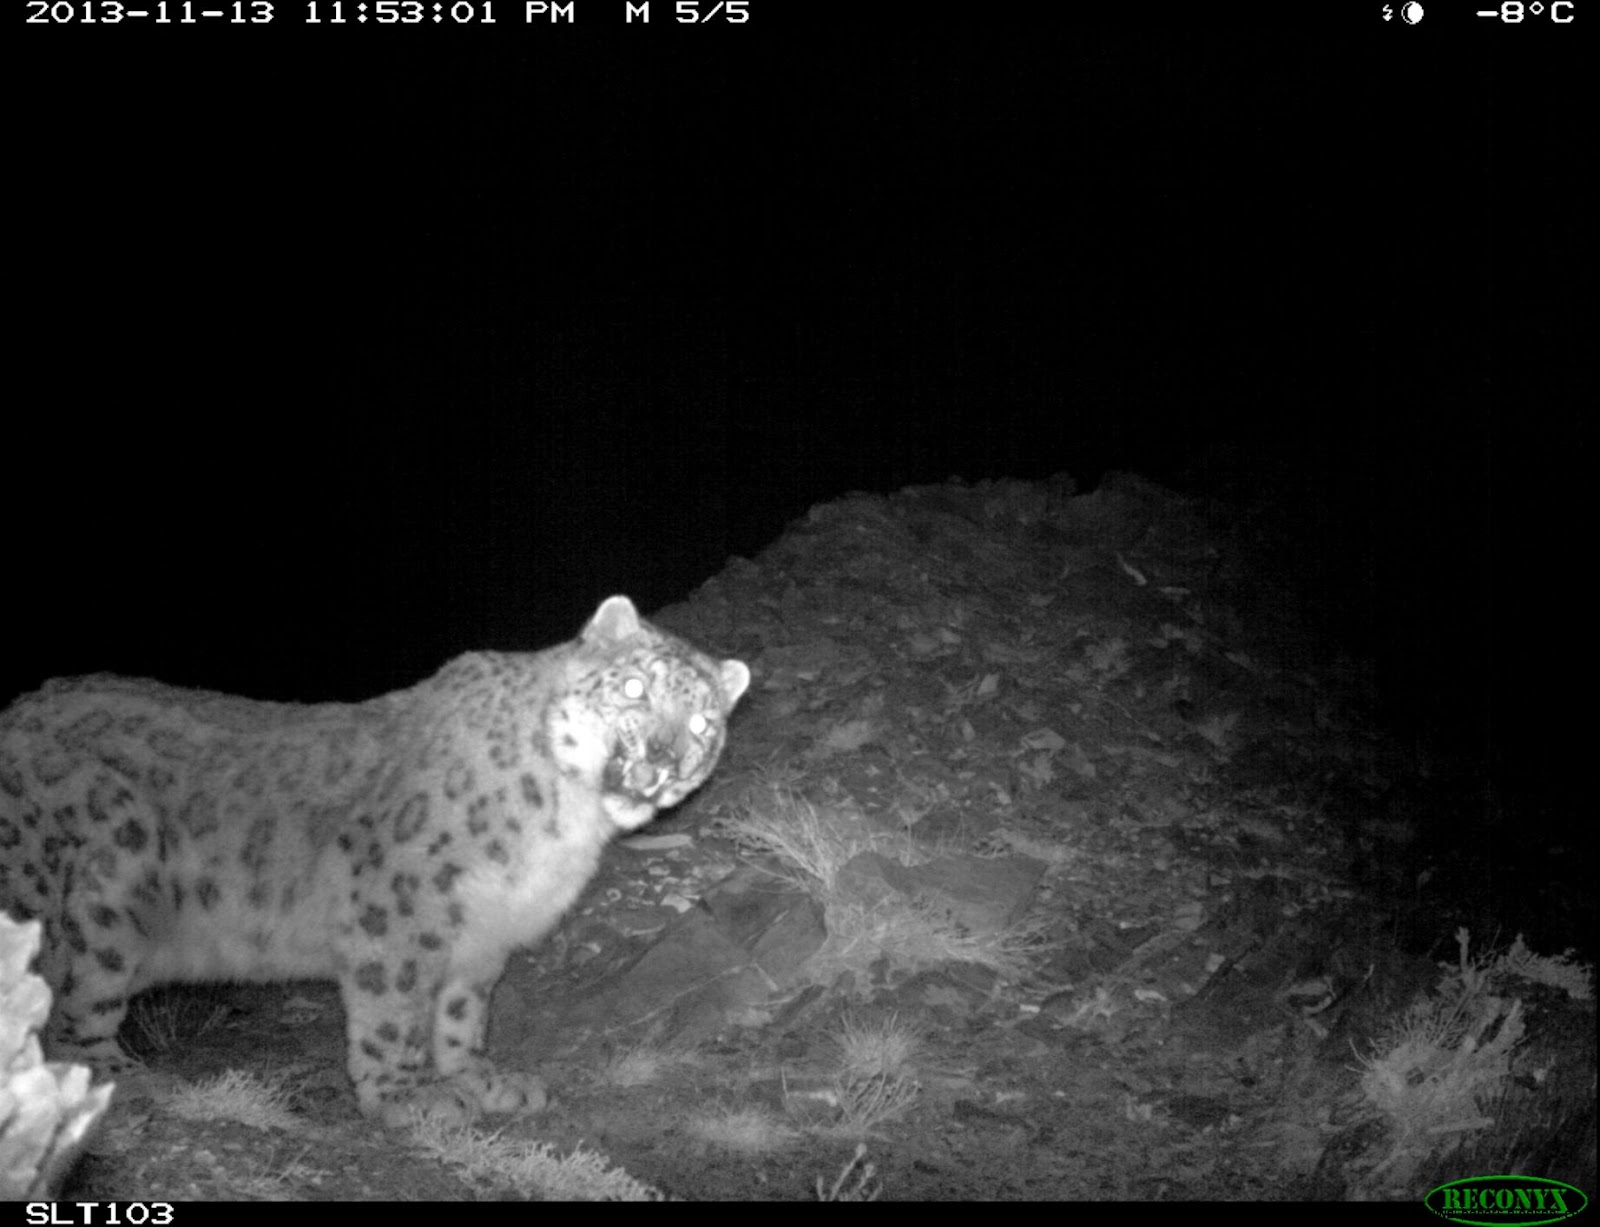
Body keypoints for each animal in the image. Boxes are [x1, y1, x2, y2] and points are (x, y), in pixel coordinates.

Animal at [0, 595, 749, 1127]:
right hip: (106, 888)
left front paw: (479, 1078)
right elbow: (395, 1010)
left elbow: (460, 1012)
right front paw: (406, 1096)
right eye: (635, 689)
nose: (662, 757)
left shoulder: (485, 931)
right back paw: (119, 1077)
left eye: (703, 724)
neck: (570, 826)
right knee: (73, 1007)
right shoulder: (401, 907)